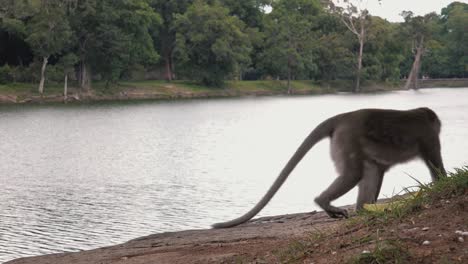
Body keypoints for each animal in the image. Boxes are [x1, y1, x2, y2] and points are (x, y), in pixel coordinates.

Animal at [212, 108, 446, 228]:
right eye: (437, 124)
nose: (440, 125)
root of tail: (343, 117)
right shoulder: (428, 137)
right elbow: (436, 166)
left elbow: (377, 170)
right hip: (348, 137)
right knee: (353, 174)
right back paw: (324, 202)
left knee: (366, 171)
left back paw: (362, 210)